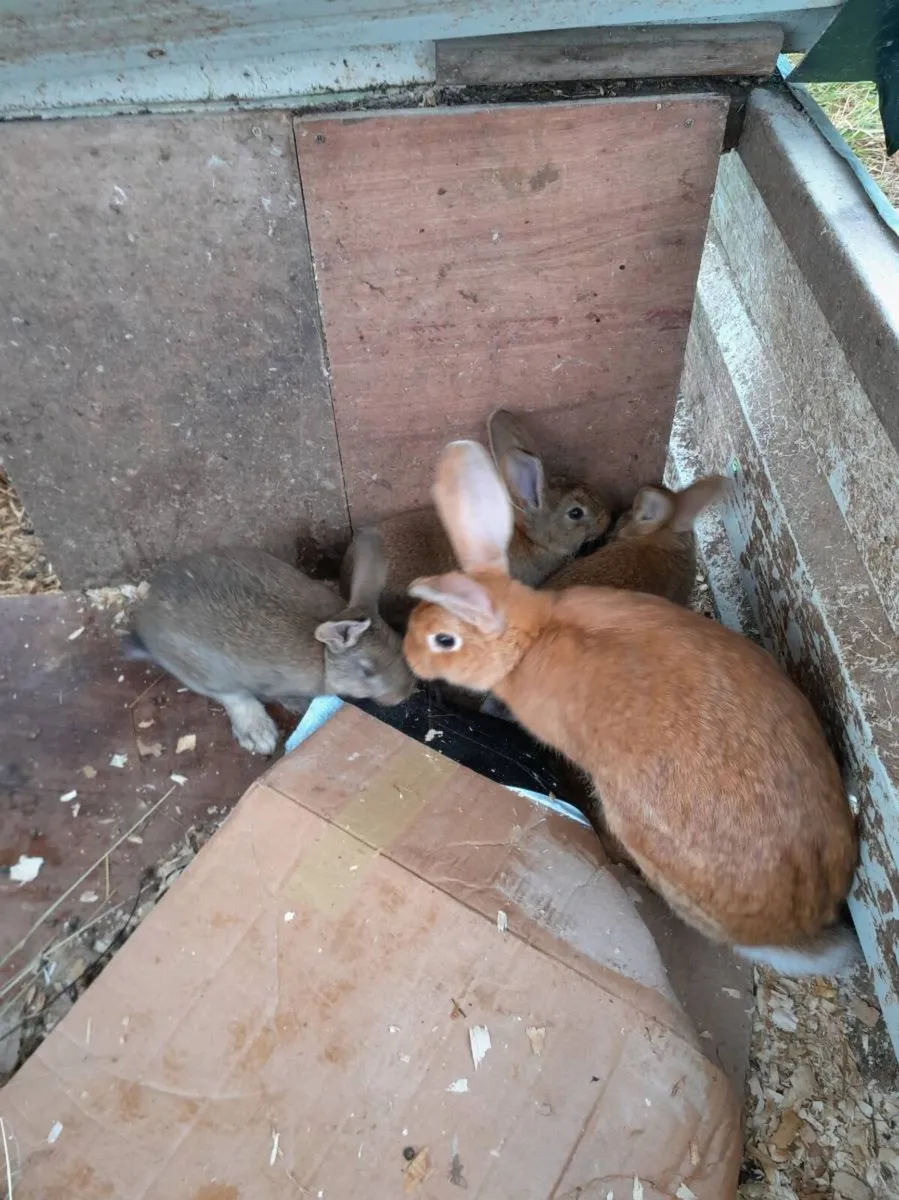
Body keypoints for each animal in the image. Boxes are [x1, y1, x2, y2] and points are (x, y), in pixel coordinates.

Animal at [123, 529, 415, 756]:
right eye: (367, 671)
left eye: (400, 642)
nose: (404, 693)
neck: (324, 657)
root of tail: (146, 614)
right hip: (205, 672)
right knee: (234, 697)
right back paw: (259, 735)